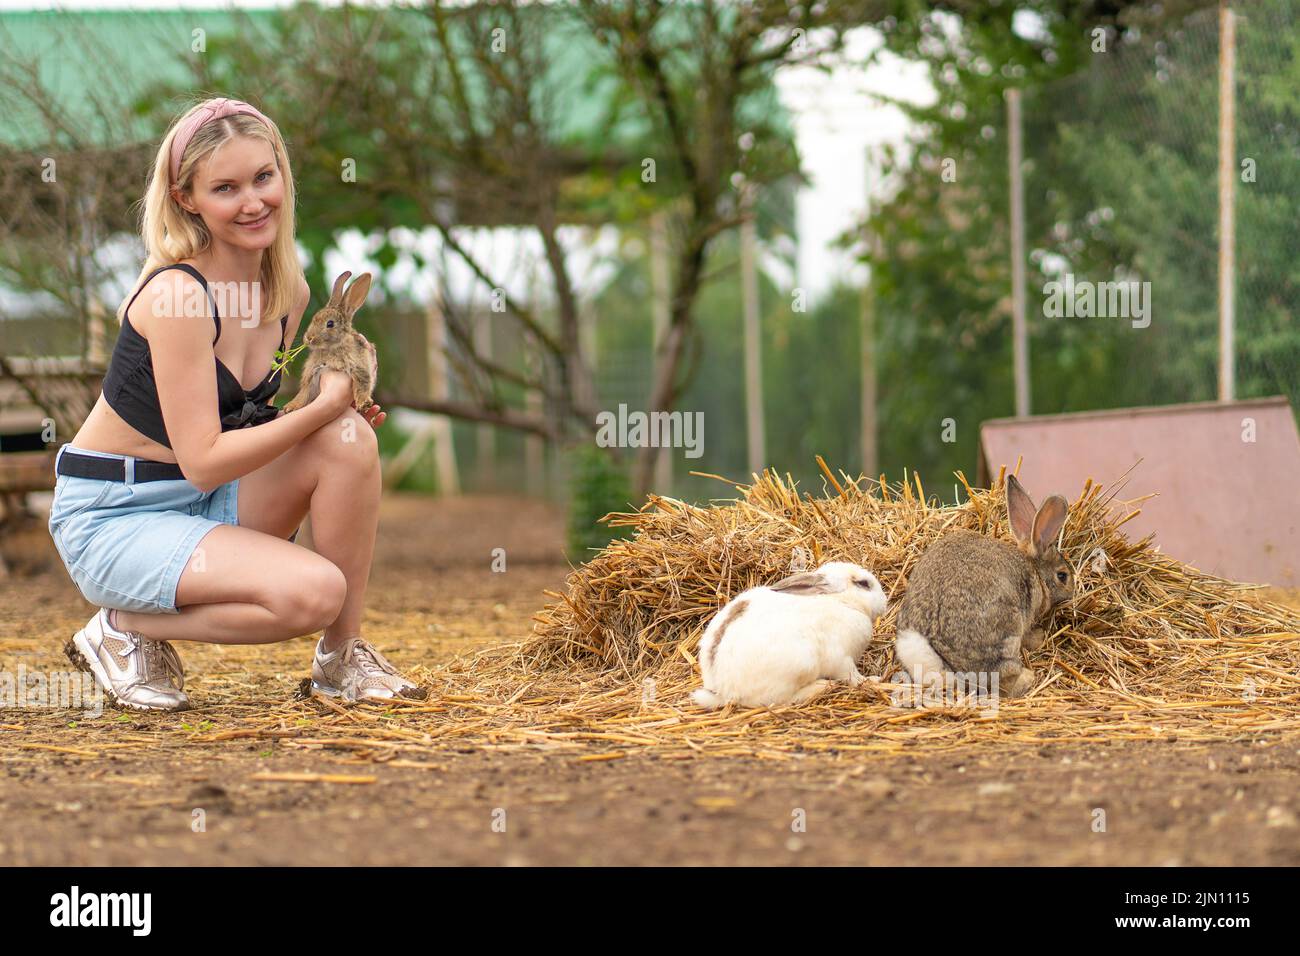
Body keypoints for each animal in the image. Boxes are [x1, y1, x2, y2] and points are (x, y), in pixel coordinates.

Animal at [691, 561, 894, 712]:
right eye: (863, 584)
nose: (884, 602)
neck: (841, 601)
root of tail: (723, 691)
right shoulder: (842, 659)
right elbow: (854, 678)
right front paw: (875, 680)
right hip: (802, 665)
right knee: (780, 701)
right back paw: (820, 686)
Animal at [894, 476, 1076, 697]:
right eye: (1062, 576)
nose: (1072, 591)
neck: (1034, 569)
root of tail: (939, 660)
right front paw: (1038, 638)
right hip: (1007, 632)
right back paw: (1027, 678)